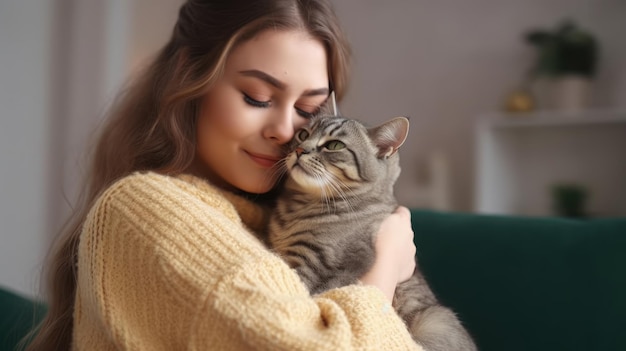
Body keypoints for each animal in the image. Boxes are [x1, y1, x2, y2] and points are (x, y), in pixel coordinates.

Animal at [266, 116, 476, 351]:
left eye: (334, 145)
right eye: (302, 134)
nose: (300, 149)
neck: (299, 207)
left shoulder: (317, 261)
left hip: (436, 319)